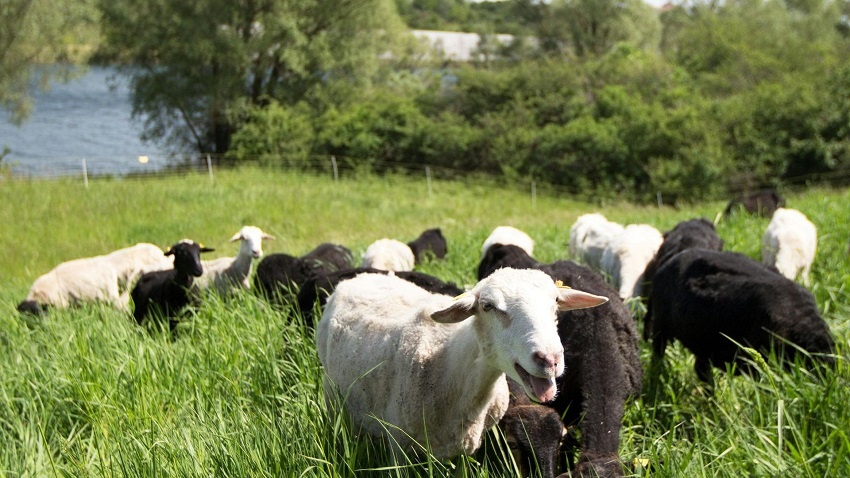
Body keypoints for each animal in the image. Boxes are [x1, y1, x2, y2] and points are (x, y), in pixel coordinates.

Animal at [314, 268, 608, 458]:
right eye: (488, 306)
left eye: (555, 302)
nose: (549, 359)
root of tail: (359, 278)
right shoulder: (399, 444)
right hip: (335, 398)